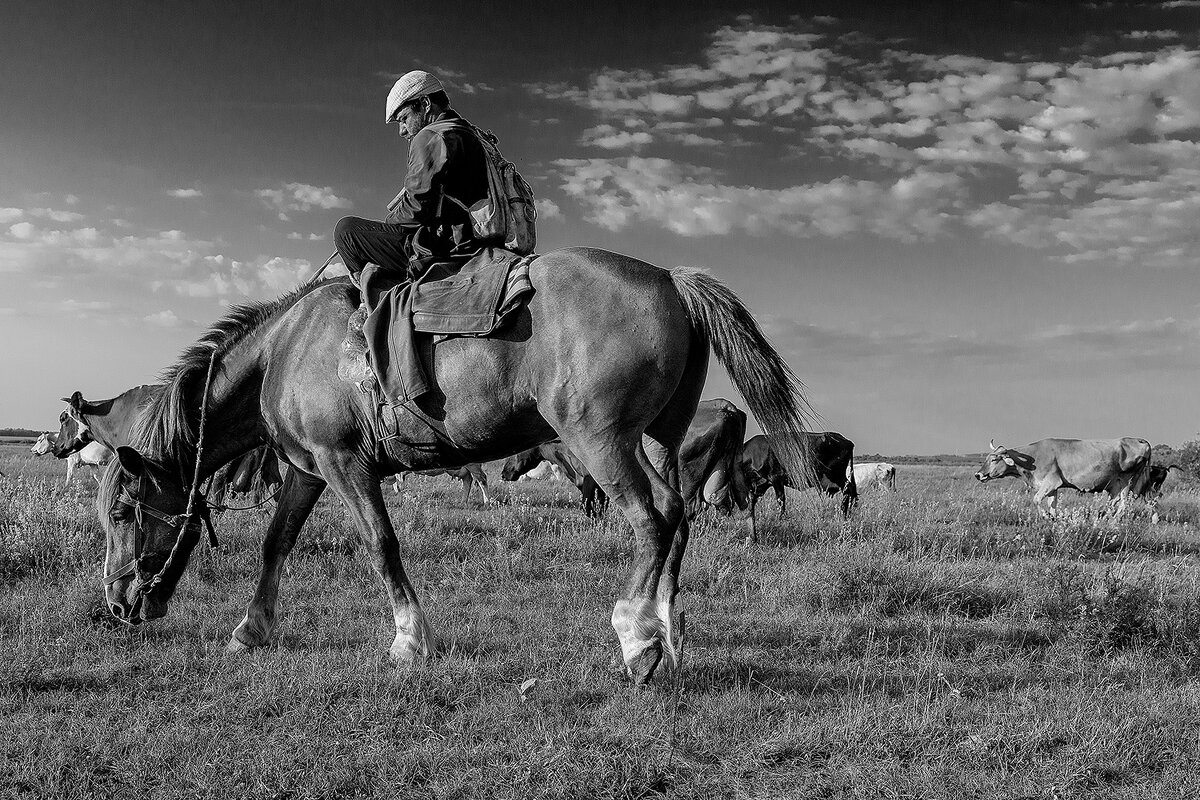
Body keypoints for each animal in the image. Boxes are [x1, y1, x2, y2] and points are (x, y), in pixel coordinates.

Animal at [98, 247, 811, 686]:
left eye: (124, 511)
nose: (117, 603)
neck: (287, 348)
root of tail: (669, 280)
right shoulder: (307, 469)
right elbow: (277, 543)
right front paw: (251, 629)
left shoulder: (345, 463)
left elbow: (381, 544)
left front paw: (409, 640)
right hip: (655, 437)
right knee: (677, 515)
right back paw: (669, 633)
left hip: (601, 440)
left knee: (651, 517)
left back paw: (636, 639)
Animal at [974, 438, 1152, 520]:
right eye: (987, 458)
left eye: (994, 459)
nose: (978, 475)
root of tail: (1139, 440)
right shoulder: (1053, 488)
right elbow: (1052, 505)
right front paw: (1053, 518)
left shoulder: (1051, 482)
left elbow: (1036, 499)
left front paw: (1045, 516)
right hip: (1115, 485)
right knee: (1114, 502)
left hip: (1127, 481)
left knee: (1123, 504)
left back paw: (1112, 520)